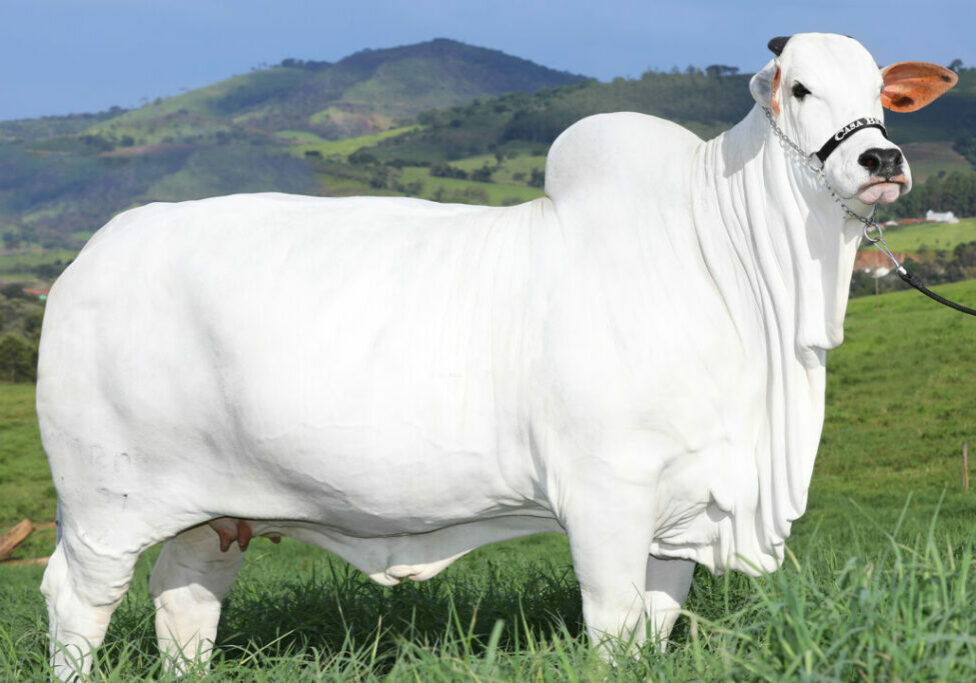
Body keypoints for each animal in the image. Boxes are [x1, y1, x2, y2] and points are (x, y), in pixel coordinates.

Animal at [37, 33, 955, 677]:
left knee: (184, 599)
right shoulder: (606, 498)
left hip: (215, 512)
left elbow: (654, 630)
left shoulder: (681, 514)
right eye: (799, 87)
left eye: (883, 95)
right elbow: (615, 629)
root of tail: (88, 259)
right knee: (75, 602)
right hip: (104, 505)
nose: (881, 158)